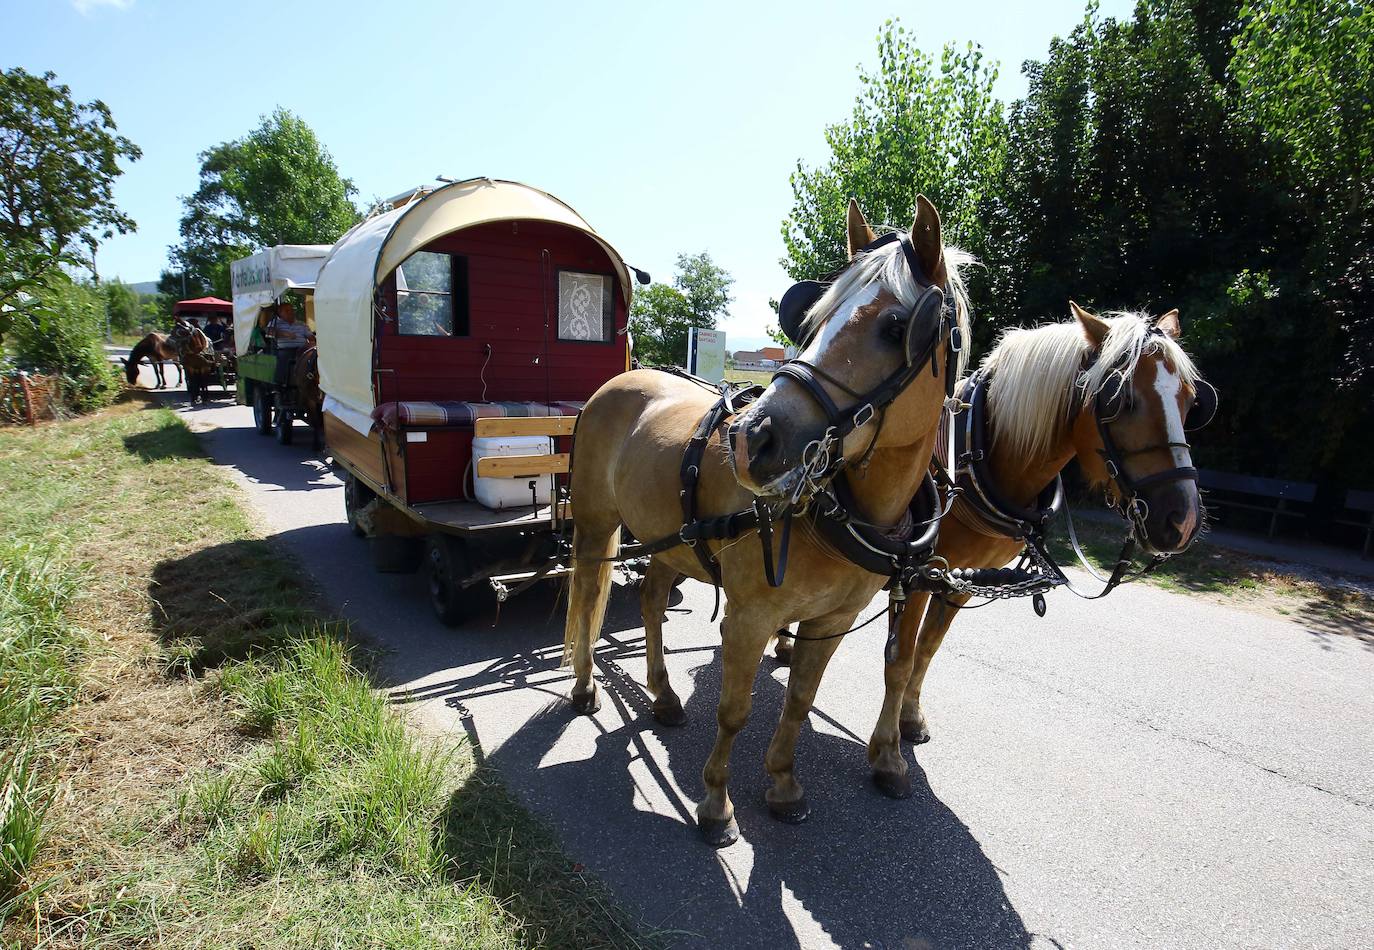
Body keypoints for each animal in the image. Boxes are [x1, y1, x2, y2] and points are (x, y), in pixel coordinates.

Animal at [560, 195, 978, 846]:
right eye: (813, 320)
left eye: (894, 328)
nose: (753, 439)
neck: (832, 510)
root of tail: (621, 379)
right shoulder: (751, 618)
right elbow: (735, 710)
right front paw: (716, 804)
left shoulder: (831, 620)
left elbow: (799, 701)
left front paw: (782, 783)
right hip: (596, 526)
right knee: (586, 595)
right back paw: (583, 685)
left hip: (670, 540)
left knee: (652, 599)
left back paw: (663, 696)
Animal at [857, 301, 1214, 753]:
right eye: (1120, 399)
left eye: (1190, 401)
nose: (1183, 521)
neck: (967, 462)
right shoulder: (921, 577)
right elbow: (901, 657)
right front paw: (887, 747)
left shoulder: (963, 579)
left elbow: (927, 649)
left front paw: (911, 717)